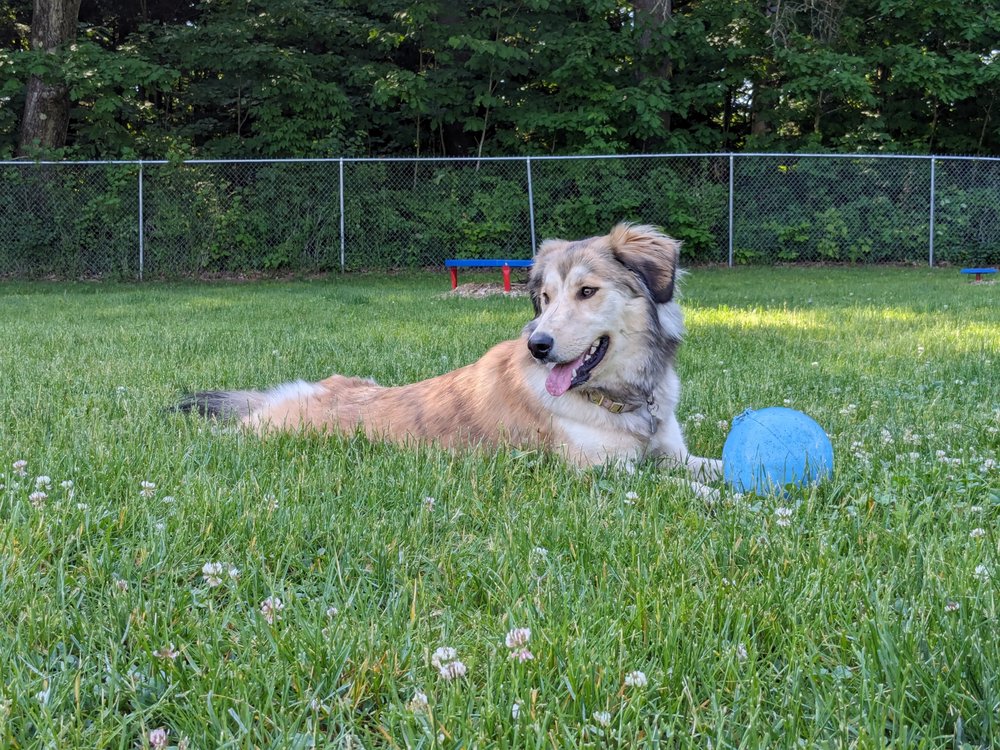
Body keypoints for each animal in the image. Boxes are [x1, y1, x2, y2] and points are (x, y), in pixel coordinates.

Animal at [178, 225, 720, 488]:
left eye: (587, 291)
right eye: (543, 298)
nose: (538, 346)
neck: (624, 397)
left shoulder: (673, 455)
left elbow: (717, 468)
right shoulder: (605, 474)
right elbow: (687, 493)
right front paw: (732, 505)